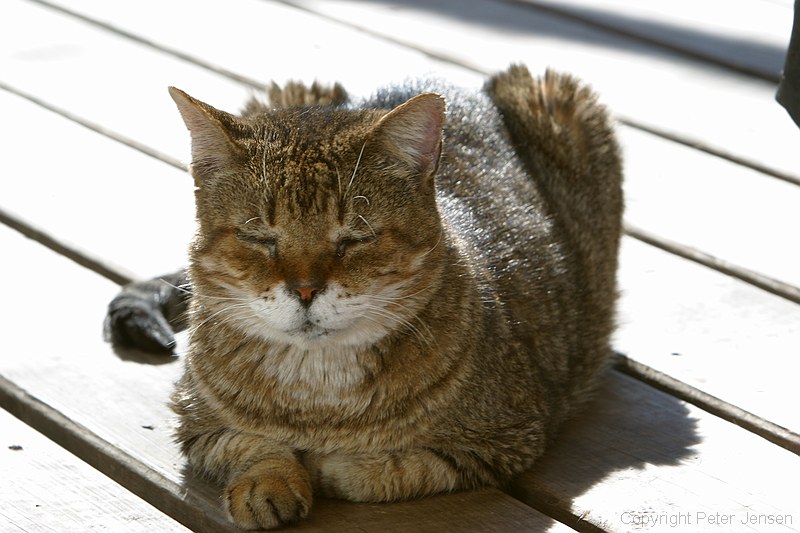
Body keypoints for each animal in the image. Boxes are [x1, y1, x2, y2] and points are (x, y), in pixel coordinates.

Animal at [103, 63, 620, 528]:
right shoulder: (196, 423)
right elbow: (251, 445)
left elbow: (380, 471)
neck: (316, 396)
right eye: (260, 238)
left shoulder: (502, 439)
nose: (305, 289)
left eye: (354, 239)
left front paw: (328, 465)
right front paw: (268, 482)